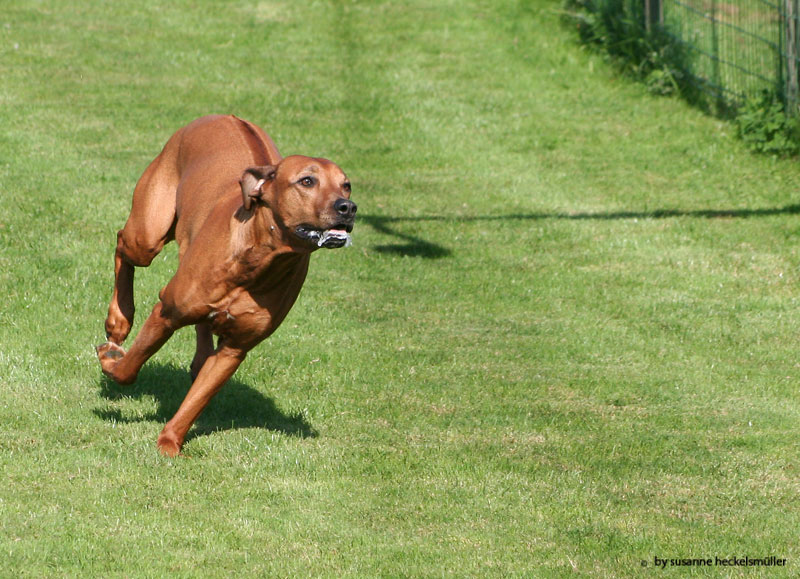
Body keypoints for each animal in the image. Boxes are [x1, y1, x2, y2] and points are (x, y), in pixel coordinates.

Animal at [96, 114, 356, 458]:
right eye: (307, 181)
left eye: (346, 185)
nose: (348, 207)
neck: (260, 260)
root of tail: (222, 116)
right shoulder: (167, 312)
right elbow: (130, 367)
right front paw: (112, 361)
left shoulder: (235, 349)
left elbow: (196, 401)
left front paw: (170, 442)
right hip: (147, 234)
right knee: (122, 244)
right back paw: (118, 319)